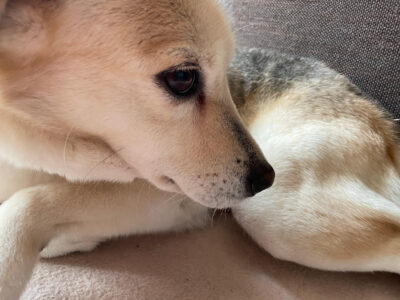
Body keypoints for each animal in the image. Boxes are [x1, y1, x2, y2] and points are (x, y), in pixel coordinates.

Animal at [0, 1, 398, 298]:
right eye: (182, 78)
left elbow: (29, 203)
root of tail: (378, 113)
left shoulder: (166, 196)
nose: (264, 178)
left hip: (275, 212)